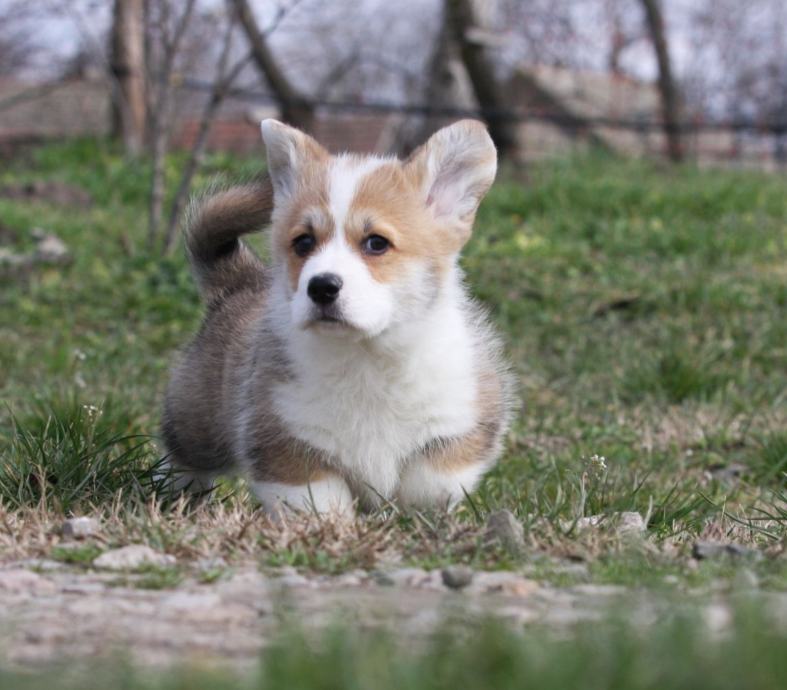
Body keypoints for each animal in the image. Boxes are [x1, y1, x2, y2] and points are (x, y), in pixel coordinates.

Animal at [163, 119, 516, 516]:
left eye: (376, 243)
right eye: (303, 242)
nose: (321, 286)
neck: (366, 355)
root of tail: (240, 282)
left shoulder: (459, 422)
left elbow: (430, 482)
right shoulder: (285, 443)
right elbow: (320, 499)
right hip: (197, 423)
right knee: (181, 457)